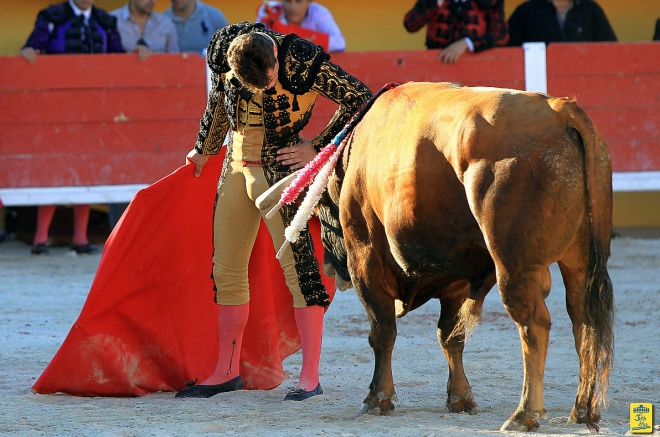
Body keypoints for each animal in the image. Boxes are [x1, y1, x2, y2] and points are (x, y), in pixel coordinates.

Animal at [258, 81, 612, 430]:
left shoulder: (366, 260)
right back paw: (581, 411)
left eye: (319, 210)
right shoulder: (457, 276)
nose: (330, 267)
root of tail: (562, 112)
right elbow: (451, 335)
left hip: (515, 266)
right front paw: (460, 399)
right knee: (584, 320)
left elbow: (382, 332)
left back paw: (525, 414)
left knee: (534, 325)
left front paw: (377, 399)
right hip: (581, 263)